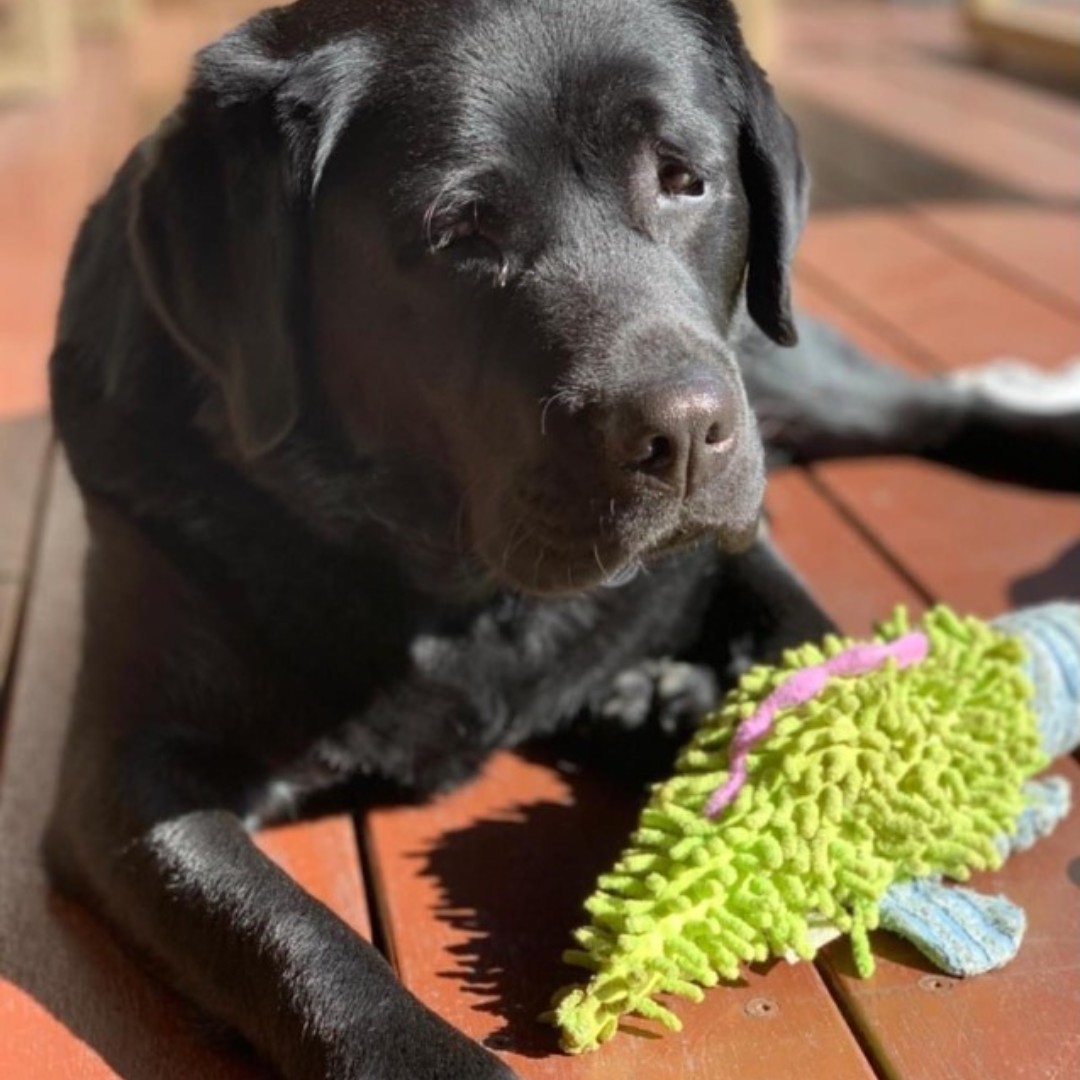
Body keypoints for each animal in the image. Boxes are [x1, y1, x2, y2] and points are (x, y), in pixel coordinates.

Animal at [42, 2, 1080, 1080]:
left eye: (685, 178)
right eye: (458, 230)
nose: (682, 436)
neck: (458, 593)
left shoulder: (730, 547)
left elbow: (817, 659)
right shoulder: (131, 777)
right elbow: (294, 936)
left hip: (790, 376)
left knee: (951, 407)